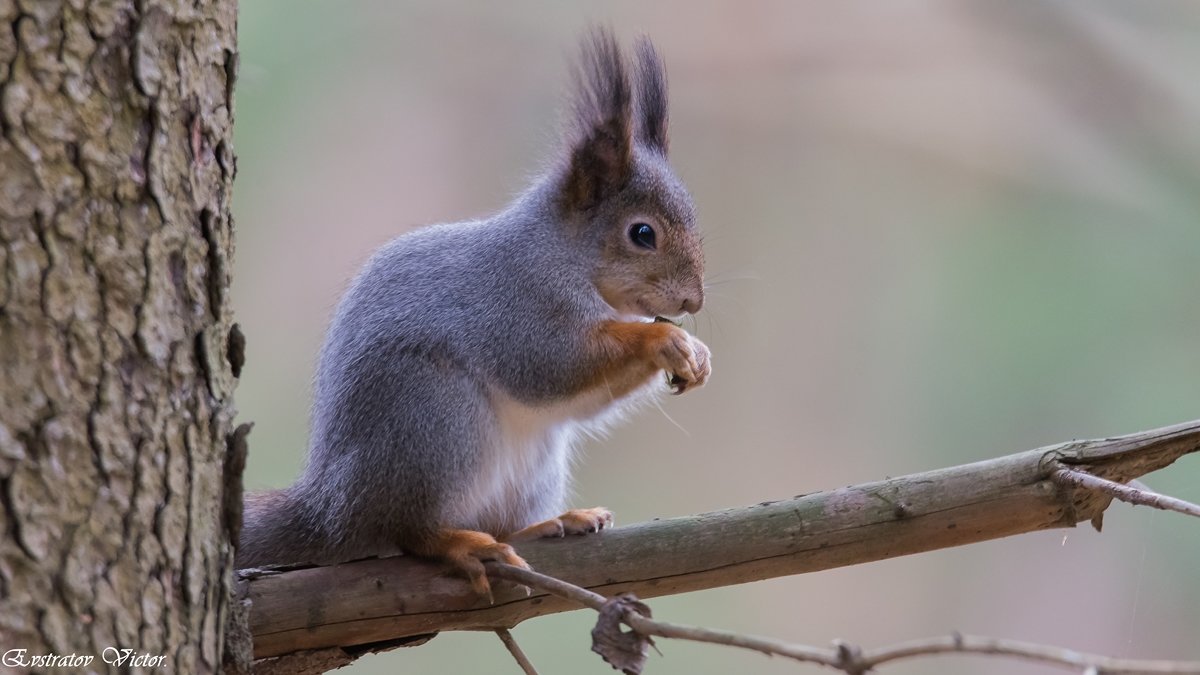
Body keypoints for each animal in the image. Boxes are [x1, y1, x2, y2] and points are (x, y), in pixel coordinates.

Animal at [237, 27, 705, 593]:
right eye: (642, 233)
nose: (694, 301)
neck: (561, 252)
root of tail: (332, 513)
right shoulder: (516, 305)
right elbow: (553, 364)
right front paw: (665, 341)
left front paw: (697, 353)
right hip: (434, 418)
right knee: (408, 531)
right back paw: (460, 545)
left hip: (531, 463)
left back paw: (552, 523)